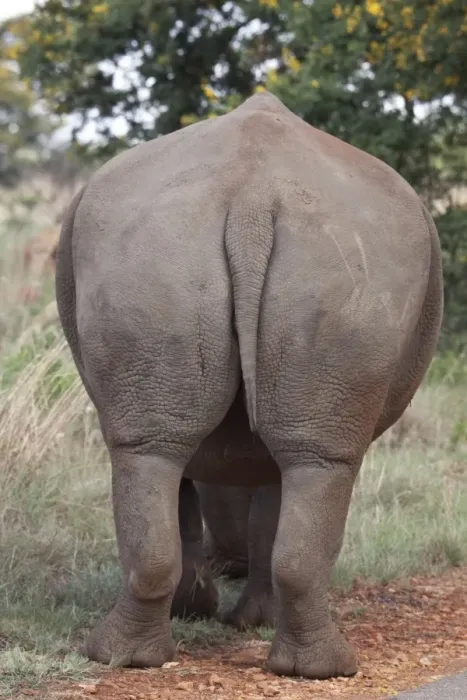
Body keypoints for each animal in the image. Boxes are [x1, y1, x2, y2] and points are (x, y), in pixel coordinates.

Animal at [56, 91, 443, 679]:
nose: (227, 563)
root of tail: (253, 201)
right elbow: (257, 509)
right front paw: (223, 615)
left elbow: (247, 509)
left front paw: (223, 616)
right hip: (312, 262)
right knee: (300, 460)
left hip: (181, 250)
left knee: (161, 450)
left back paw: (130, 658)